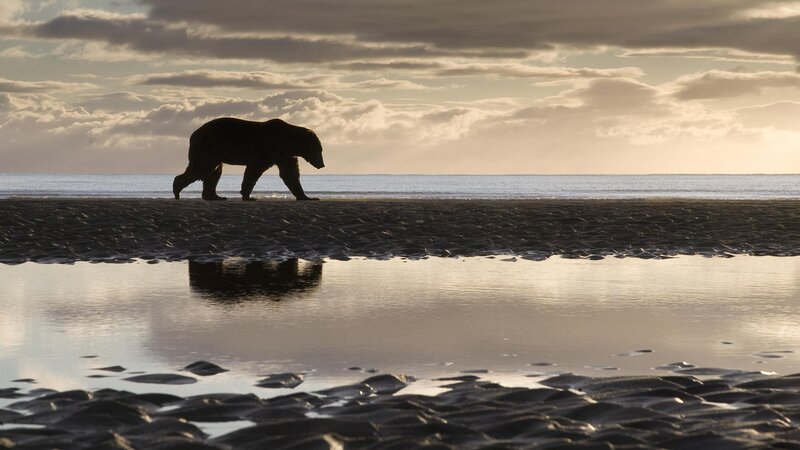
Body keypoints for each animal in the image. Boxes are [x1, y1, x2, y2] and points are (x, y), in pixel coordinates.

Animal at [172, 117, 324, 201]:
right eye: (318, 150)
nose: (322, 164)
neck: (288, 142)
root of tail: (193, 134)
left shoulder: (284, 155)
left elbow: (290, 174)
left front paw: (307, 197)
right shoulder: (268, 149)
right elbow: (254, 170)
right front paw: (248, 195)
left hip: (214, 151)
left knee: (214, 172)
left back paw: (216, 196)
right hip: (208, 146)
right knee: (202, 168)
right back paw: (177, 190)